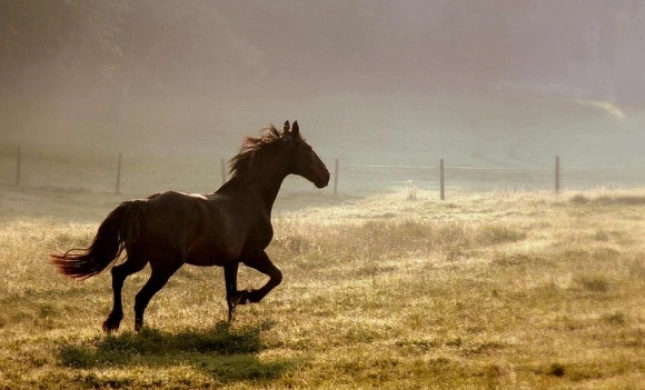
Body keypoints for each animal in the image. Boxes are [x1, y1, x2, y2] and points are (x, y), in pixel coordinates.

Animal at [51, 120, 330, 330]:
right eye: (307, 148)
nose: (325, 177)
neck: (250, 198)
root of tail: (145, 203)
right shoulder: (252, 254)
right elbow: (275, 277)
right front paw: (249, 296)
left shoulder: (231, 261)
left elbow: (230, 294)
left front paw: (232, 321)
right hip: (165, 264)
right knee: (141, 296)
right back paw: (139, 330)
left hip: (140, 259)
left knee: (118, 274)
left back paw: (113, 322)